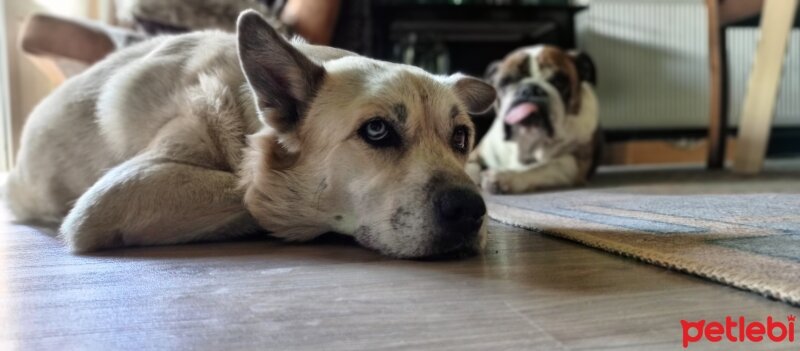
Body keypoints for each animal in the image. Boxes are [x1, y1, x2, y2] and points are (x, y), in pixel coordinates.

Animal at [4, 9, 494, 260]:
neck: (244, 113)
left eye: (461, 139)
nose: (471, 211)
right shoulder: (117, 193)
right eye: (376, 130)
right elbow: (254, 192)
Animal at [468, 44, 600, 195]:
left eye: (559, 81)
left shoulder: (572, 162)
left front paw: (504, 176)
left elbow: (538, 168)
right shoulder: (478, 154)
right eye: (506, 82)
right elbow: (469, 166)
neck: (527, 140)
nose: (530, 89)